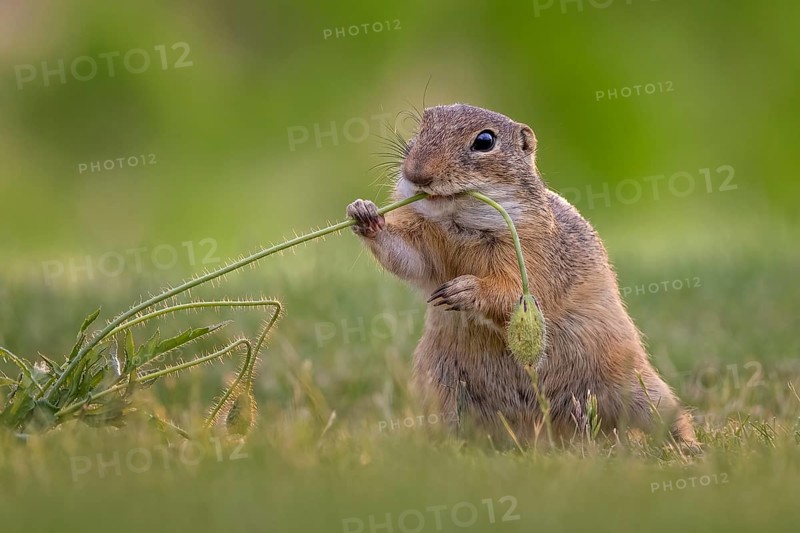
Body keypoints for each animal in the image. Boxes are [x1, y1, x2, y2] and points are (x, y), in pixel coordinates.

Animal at [347, 103, 696, 447]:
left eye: (485, 141)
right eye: (422, 127)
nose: (416, 173)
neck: (459, 223)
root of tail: (545, 433)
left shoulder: (532, 255)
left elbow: (515, 292)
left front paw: (466, 290)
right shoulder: (426, 240)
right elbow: (407, 256)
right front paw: (364, 213)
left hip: (640, 388)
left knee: (670, 416)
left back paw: (688, 446)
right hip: (440, 387)